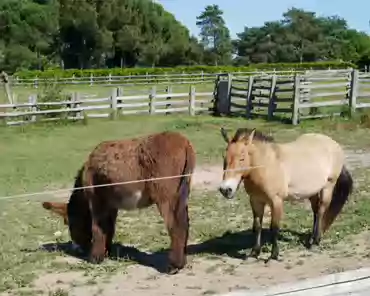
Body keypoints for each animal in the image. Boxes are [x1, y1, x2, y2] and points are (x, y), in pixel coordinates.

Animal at [41, 132, 195, 276]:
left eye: (70, 223)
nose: (77, 249)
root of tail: (184, 141)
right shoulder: (111, 205)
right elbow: (109, 227)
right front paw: (106, 251)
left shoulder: (95, 199)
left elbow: (97, 227)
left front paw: (95, 258)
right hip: (182, 192)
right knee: (184, 222)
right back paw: (182, 261)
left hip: (165, 194)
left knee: (175, 226)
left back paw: (174, 266)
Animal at [218, 127, 354, 262]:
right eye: (224, 158)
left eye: (242, 158)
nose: (226, 189)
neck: (267, 165)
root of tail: (333, 143)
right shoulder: (255, 201)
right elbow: (257, 226)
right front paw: (254, 253)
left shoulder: (276, 201)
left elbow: (274, 227)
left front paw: (273, 255)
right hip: (313, 191)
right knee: (316, 212)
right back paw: (311, 239)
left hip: (328, 187)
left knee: (321, 211)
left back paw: (315, 241)